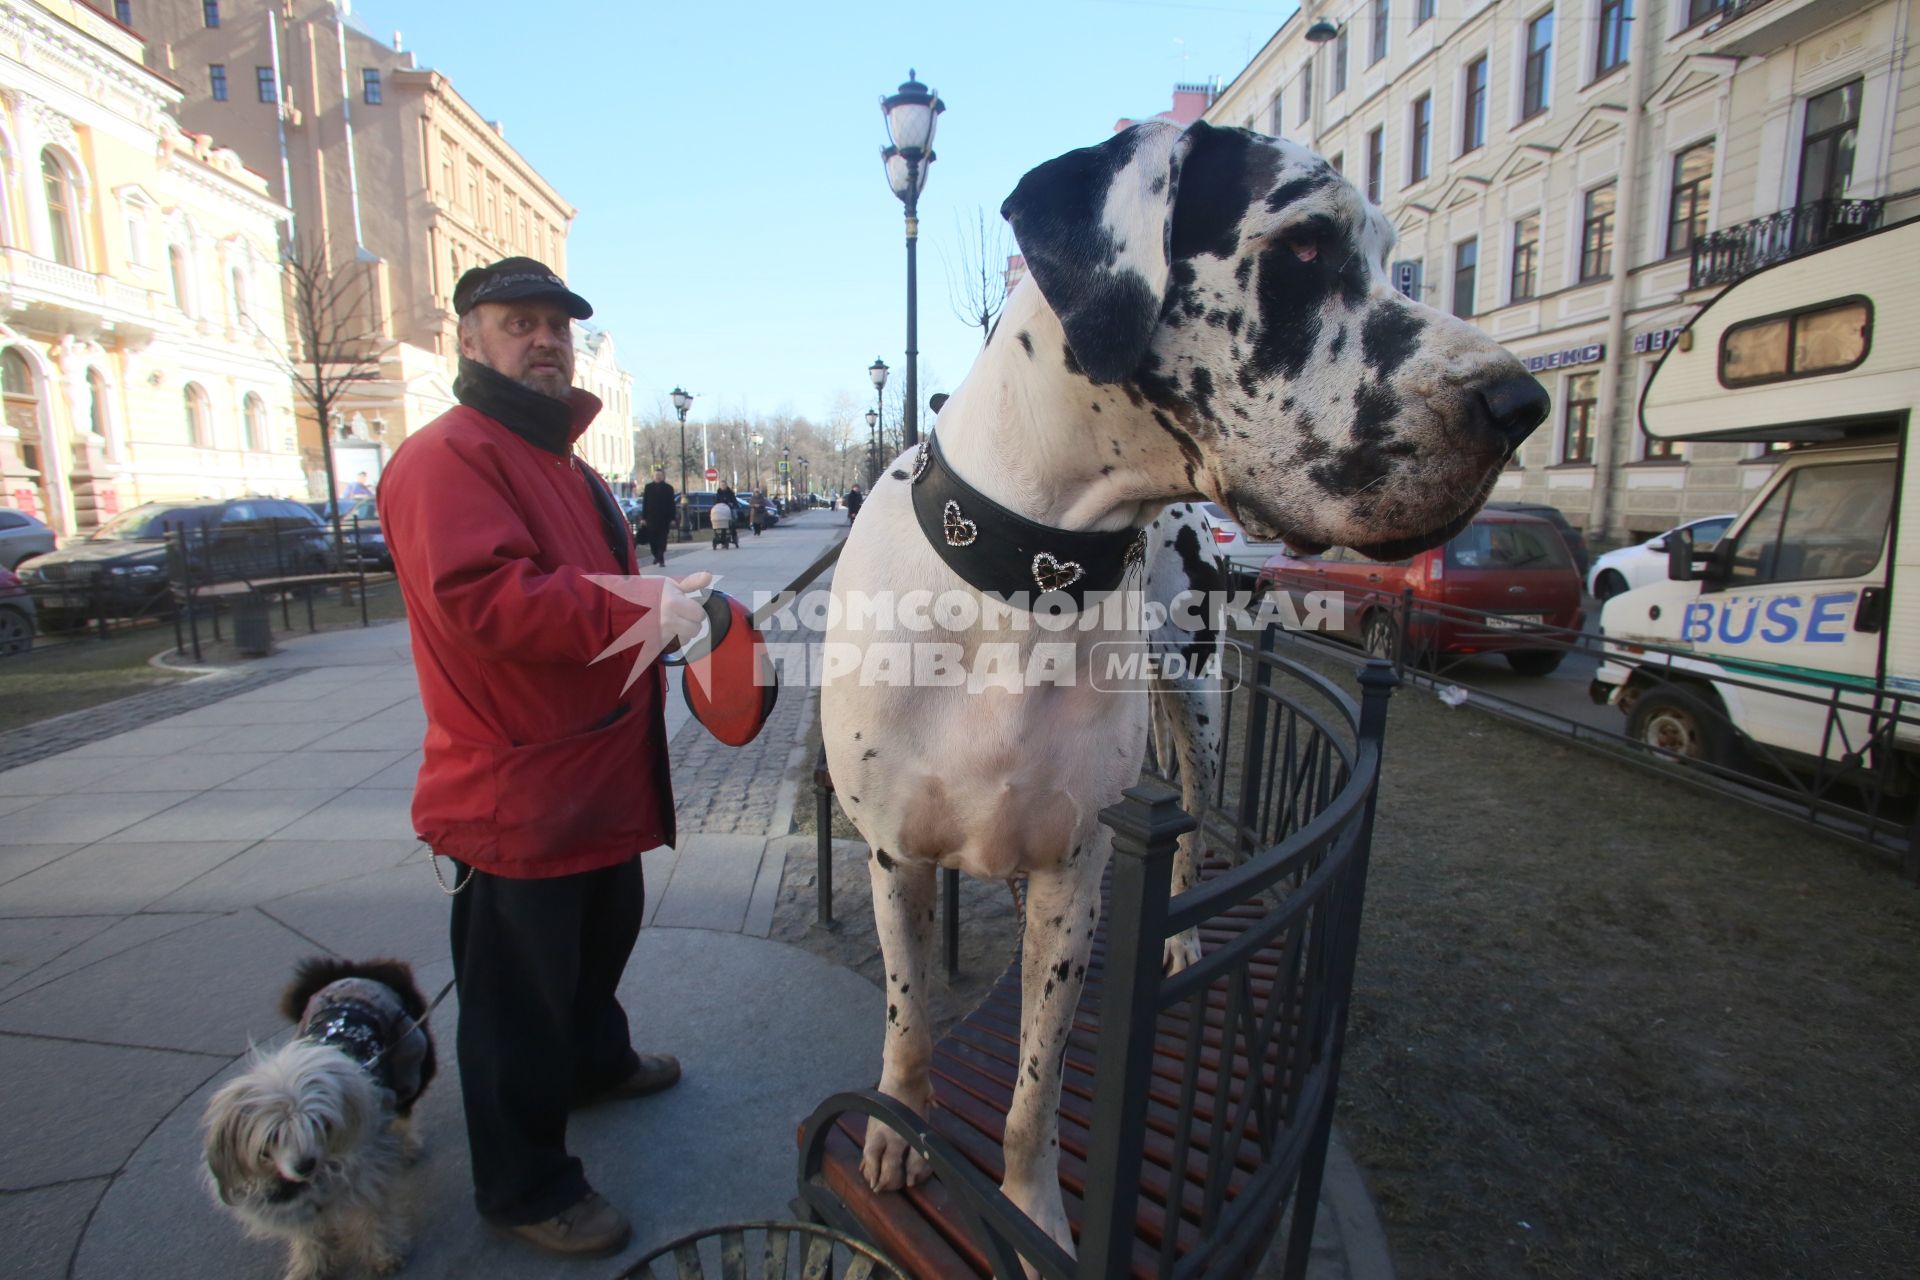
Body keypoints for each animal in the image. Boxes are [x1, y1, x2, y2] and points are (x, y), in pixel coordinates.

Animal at [206, 959, 439, 1280]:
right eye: (273, 1136)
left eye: (319, 1123)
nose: (305, 1165)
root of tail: (354, 972)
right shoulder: (297, 1199)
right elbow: (309, 1233)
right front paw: (311, 1265)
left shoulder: (366, 1170)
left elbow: (373, 1213)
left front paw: (383, 1253)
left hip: (409, 1066)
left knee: (404, 1114)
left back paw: (407, 1147)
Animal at [821, 115, 1543, 1258]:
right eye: (1304, 245)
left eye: (1392, 257)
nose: (1521, 402)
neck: (1032, 574)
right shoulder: (895, 852)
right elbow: (909, 1018)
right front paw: (897, 1126)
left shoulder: (1074, 877)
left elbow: (1035, 1089)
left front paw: (1034, 1212)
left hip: (1197, 710)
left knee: (1197, 817)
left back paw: (1187, 932)